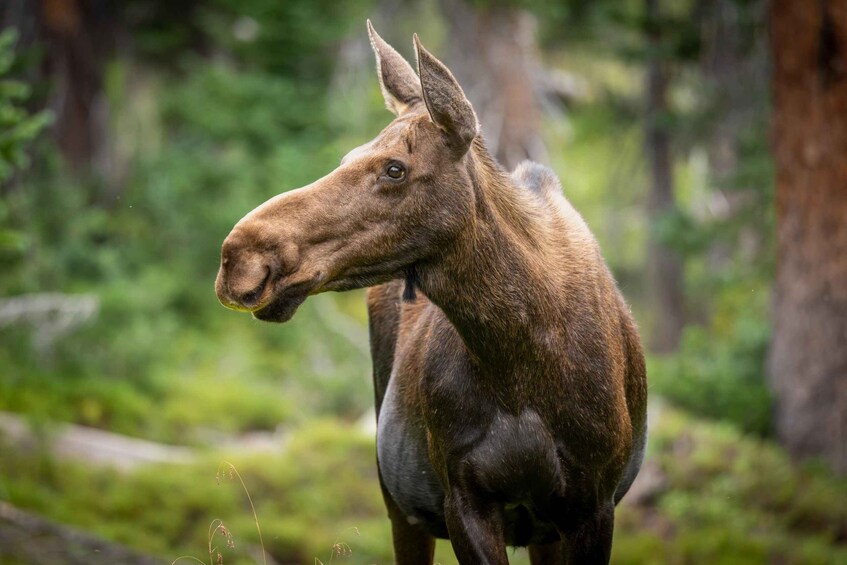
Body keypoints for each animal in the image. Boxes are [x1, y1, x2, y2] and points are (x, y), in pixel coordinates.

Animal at [215, 21, 647, 565]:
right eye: (348, 157)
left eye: (395, 168)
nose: (238, 256)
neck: (519, 358)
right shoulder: (464, 499)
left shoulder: (591, 505)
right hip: (398, 500)